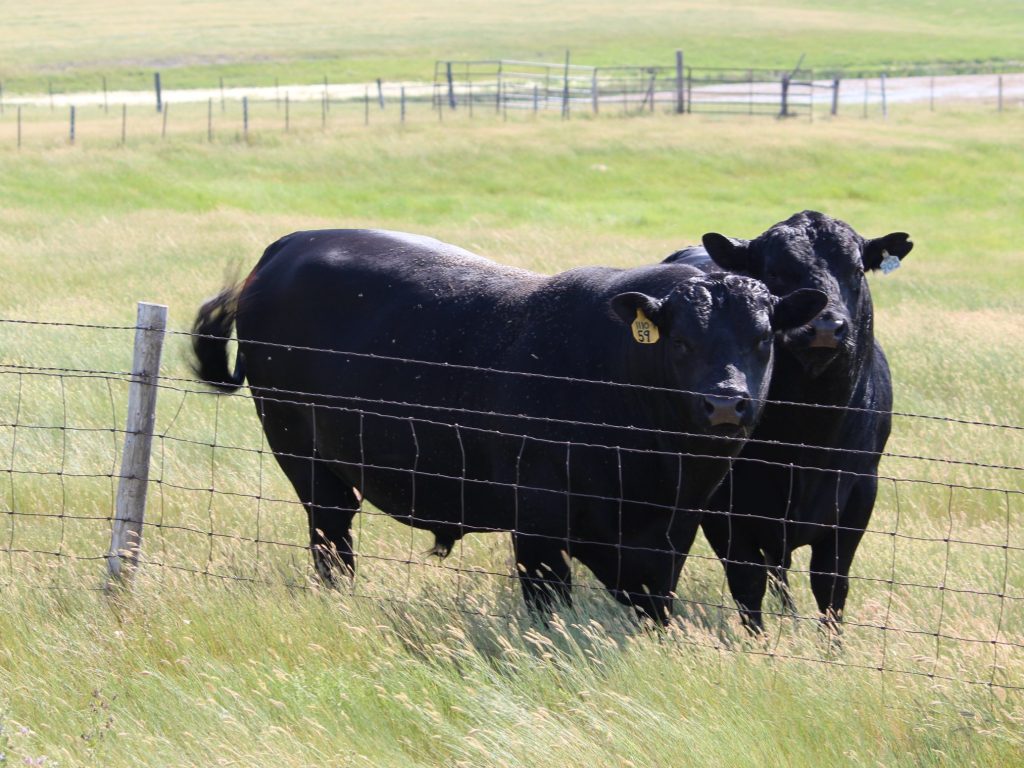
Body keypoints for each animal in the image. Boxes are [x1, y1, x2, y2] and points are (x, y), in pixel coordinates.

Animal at [191, 229, 826, 623]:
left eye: (763, 339)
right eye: (682, 342)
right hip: (300, 451)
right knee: (331, 536)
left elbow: (657, 603)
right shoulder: (538, 521)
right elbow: (549, 600)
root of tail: (289, 245)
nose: (726, 405)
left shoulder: (670, 533)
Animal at [664, 210, 912, 632]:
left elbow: (831, 584)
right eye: (775, 272)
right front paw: (758, 640)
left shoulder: (860, 492)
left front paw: (832, 644)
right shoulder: (721, 503)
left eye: (857, 269)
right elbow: (747, 579)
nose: (825, 327)